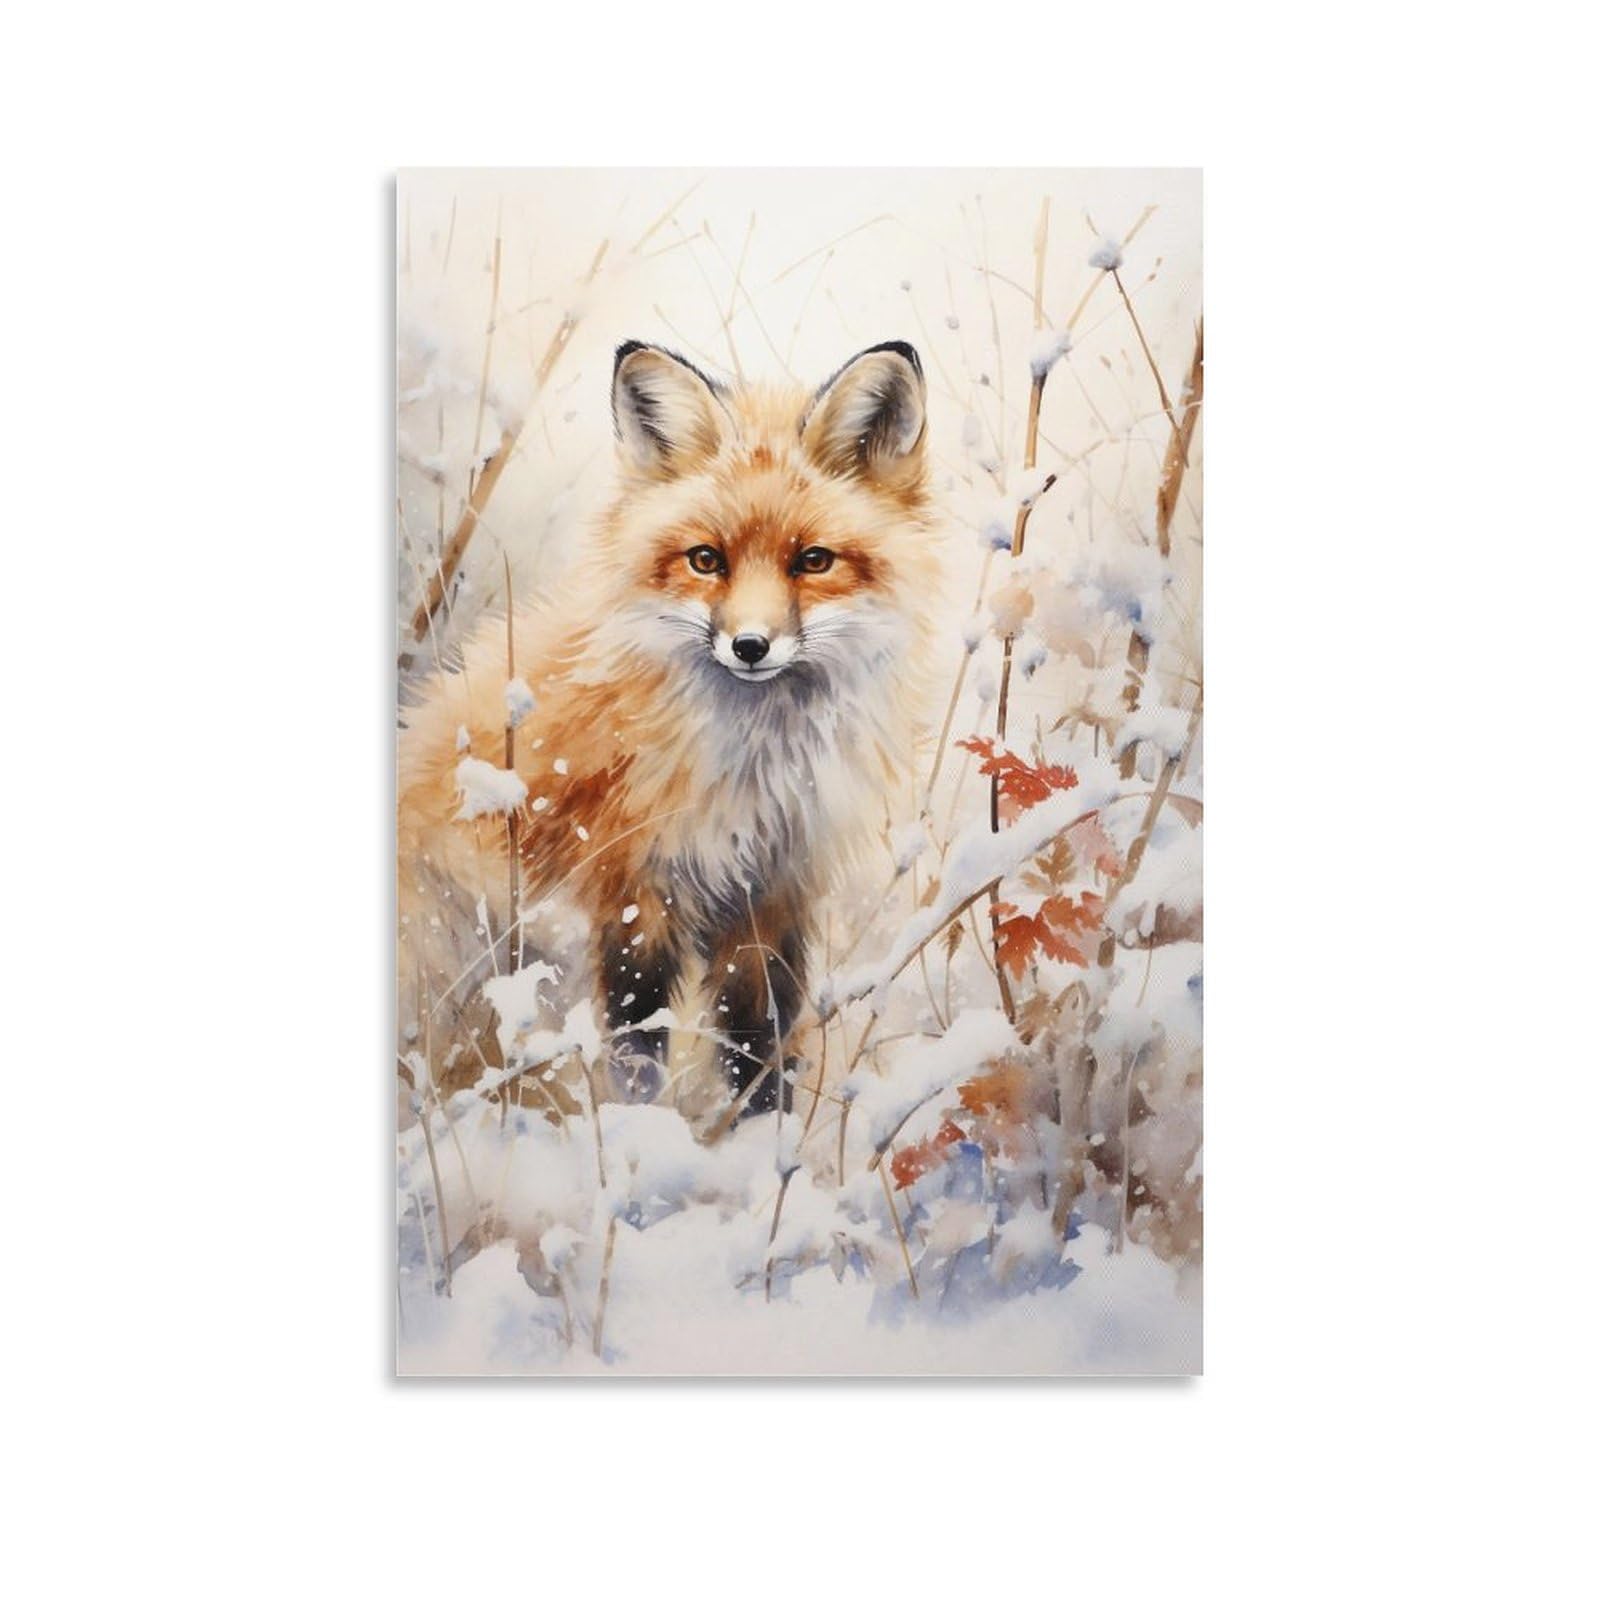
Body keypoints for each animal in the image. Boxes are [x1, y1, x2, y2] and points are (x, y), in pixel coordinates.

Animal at [398, 338, 940, 1116]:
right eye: (705, 560)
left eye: (812, 561)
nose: (750, 646)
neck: (754, 767)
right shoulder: (631, 894)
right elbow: (637, 1047)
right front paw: (644, 1135)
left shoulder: (771, 893)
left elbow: (758, 1039)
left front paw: (761, 1135)